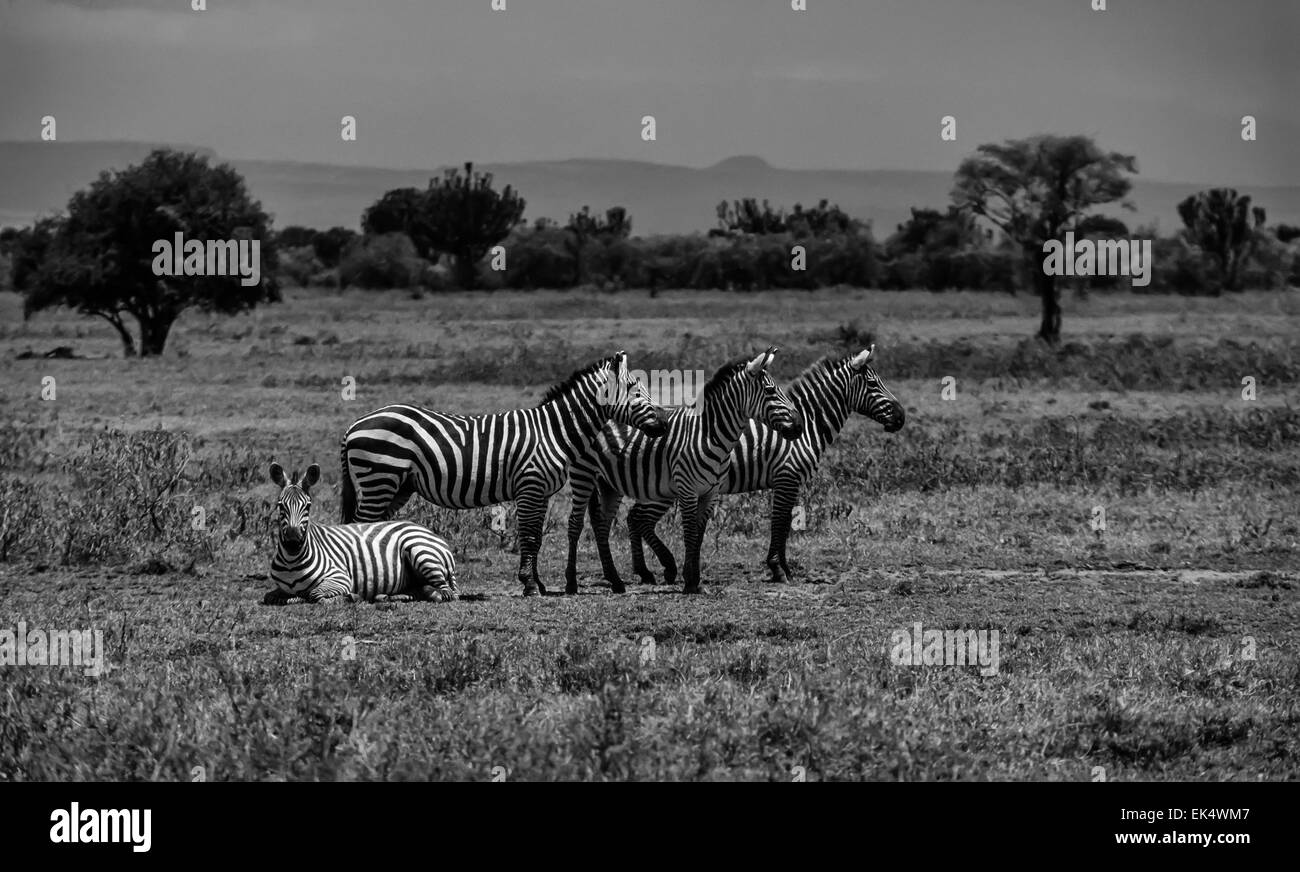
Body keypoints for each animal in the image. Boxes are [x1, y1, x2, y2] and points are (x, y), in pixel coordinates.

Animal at [262, 462, 458, 605]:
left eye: (308, 506)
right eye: (280, 505)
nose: (293, 542)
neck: (291, 562)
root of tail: (431, 533)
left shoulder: (340, 577)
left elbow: (316, 595)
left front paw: (350, 597)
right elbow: (269, 596)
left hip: (421, 552)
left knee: (446, 593)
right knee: (420, 590)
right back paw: (387, 596)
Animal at [338, 351, 669, 596]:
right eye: (637, 392)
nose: (664, 425)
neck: (553, 431)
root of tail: (355, 424)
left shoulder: (541, 491)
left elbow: (536, 537)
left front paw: (538, 583)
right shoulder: (530, 485)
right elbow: (529, 536)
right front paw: (530, 584)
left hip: (397, 486)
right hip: (380, 478)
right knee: (361, 526)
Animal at [564, 346, 804, 595]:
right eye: (770, 391)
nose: (799, 426)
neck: (708, 434)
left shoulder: (710, 493)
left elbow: (698, 535)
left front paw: (694, 579)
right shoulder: (688, 489)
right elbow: (689, 533)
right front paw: (689, 581)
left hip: (609, 483)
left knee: (602, 526)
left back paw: (615, 580)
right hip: (583, 474)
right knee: (575, 523)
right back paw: (572, 582)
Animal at [613, 346, 904, 586]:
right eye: (872, 383)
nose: (901, 417)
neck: (808, 425)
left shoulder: (790, 482)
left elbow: (784, 524)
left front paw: (782, 567)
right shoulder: (787, 477)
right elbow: (779, 523)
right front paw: (778, 569)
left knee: (635, 519)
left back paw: (648, 571)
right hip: (662, 486)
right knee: (639, 519)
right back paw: (660, 569)